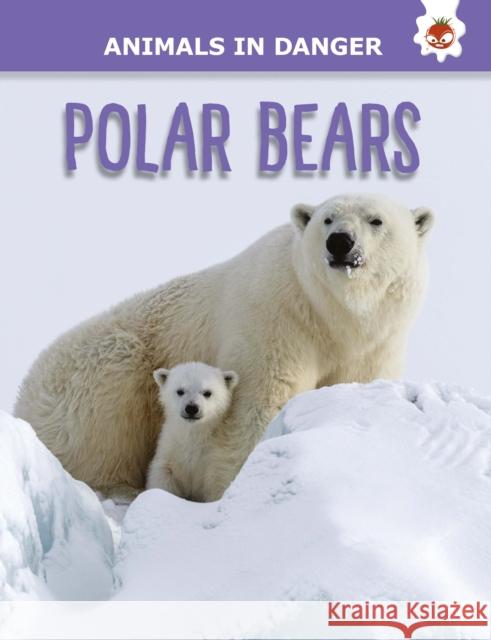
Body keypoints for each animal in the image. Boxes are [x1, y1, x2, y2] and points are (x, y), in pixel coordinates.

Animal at [146, 362, 239, 501]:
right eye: (180, 391)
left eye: (207, 392)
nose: (191, 408)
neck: (193, 434)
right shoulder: (171, 450)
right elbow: (163, 476)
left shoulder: (212, 455)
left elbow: (217, 481)